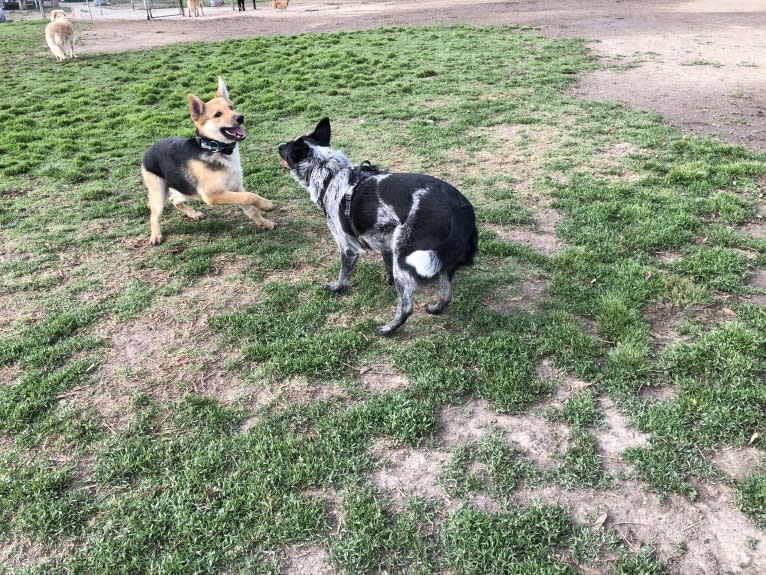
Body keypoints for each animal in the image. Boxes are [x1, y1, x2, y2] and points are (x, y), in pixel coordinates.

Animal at [141, 79, 276, 245]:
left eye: (231, 107)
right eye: (217, 114)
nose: (240, 117)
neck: (217, 148)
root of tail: (148, 150)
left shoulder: (236, 187)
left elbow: (251, 208)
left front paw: (265, 223)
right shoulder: (213, 195)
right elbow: (250, 196)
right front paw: (267, 205)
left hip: (186, 190)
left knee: (175, 200)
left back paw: (194, 214)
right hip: (159, 194)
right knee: (154, 216)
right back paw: (156, 235)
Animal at [276, 119, 480, 338]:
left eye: (287, 148)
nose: (277, 146)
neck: (330, 173)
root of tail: (460, 211)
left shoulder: (347, 248)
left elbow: (343, 275)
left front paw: (336, 288)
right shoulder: (385, 241)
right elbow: (387, 265)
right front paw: (387, 280)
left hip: (406, 256)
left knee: (406, 307)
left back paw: (388, 329)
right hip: (439, 260)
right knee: (446, 293)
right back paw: (435, 309)